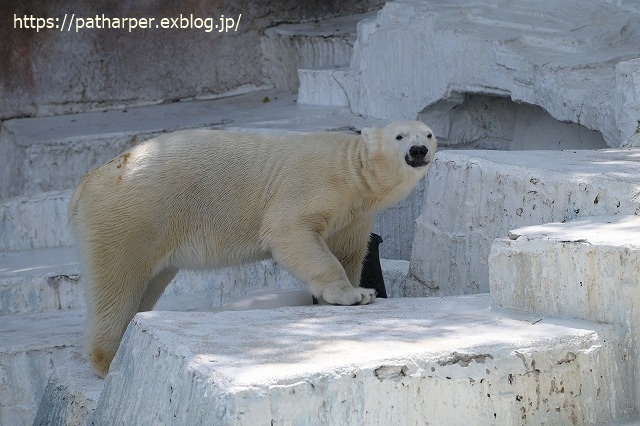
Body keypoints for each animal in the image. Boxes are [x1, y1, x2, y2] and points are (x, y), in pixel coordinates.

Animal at [70, 120, 438, 376]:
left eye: (429, 134)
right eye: (400, 136)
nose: (418, 150)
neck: (353, 165)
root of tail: (86, 182)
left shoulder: (354, 212)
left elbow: (348, 251)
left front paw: (350, 290)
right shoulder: (314, 183)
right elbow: (289, 230)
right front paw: (354, 295)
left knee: (147, 282)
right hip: (133, 216)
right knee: (117, 282)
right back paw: (109, 360)